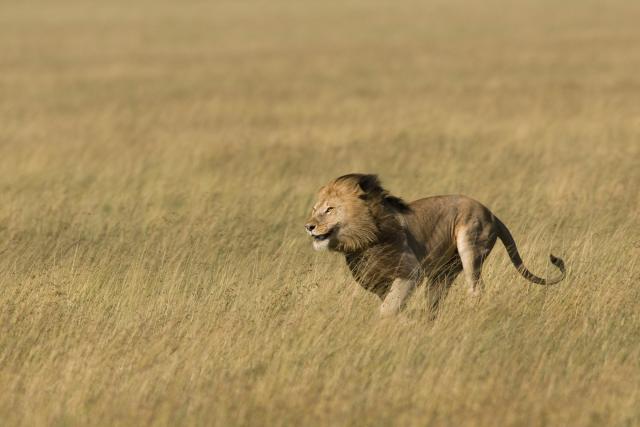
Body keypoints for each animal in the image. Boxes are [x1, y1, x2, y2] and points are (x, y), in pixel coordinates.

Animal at [305, 173, 565, 317]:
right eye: (315, 210)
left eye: (329, 209)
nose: (309, 226)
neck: (361, 243)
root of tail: (491, 213)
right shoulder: (379, 284)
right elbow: (392, 304)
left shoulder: (411, 271)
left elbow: (388, 308)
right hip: (443, 272)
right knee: (436, 301)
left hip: (471, 243)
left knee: (476, 288)